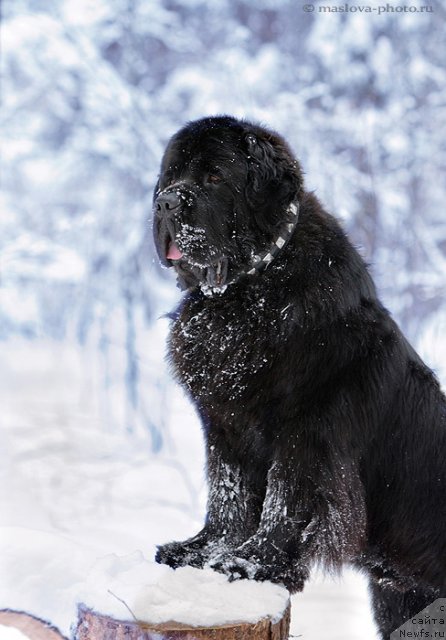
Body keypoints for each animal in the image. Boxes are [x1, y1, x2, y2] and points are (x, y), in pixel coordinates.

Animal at [153, 115, 446, 636]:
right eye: (172, 175)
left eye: (213, 177)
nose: (165, 201)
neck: (249, 292)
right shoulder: (225, 425)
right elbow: (227, 493)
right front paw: (200, 552)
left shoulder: (308, 433)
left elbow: (286, 499)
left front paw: (252, 563)